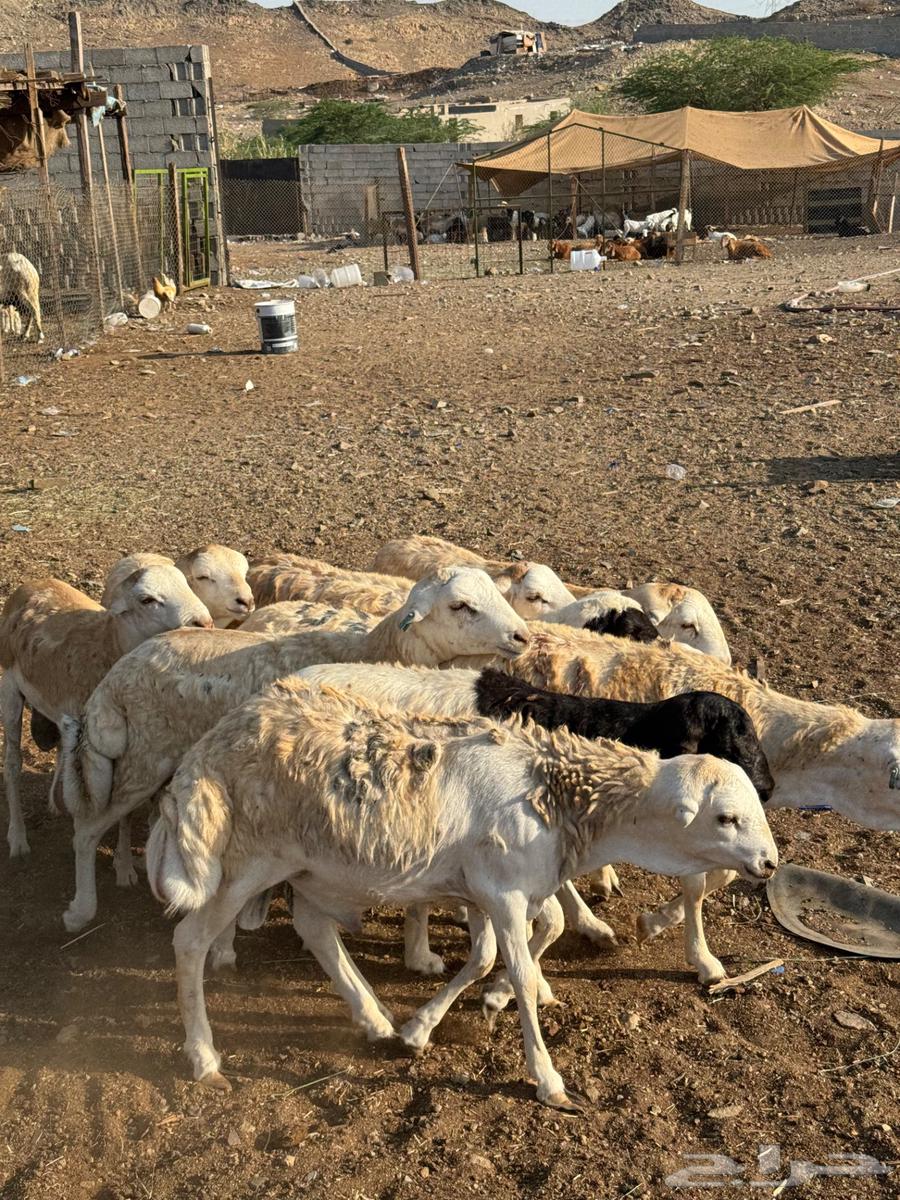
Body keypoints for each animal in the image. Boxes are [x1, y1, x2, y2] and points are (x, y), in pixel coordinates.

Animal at [0, 567, 213, 859]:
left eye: (185, 583)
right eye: (147, 600)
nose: (206, 622)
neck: (108, 644)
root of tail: (31, 585)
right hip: (9, 687)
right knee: (12, 762)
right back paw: (18, 838)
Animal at [58, 566, 529, 933]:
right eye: (461, 606)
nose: (522, 636)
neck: (375, 650)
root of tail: (116, 675)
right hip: (144, 757)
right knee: (86, 829)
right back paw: (81, 909)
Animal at [146, 678, 777, 1108]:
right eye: (726, 818)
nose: (770, 863)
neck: (559, 795)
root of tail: (213, 744)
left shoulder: (496, 889)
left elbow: (492, 955)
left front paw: (424, 1026)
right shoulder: (503, 893)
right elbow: (514, 966)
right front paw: (547, 1078)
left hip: (313, 867)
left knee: (316, 930)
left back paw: (375, 1019)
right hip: (246, 864)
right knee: (190, 941)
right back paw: (204, 1058)